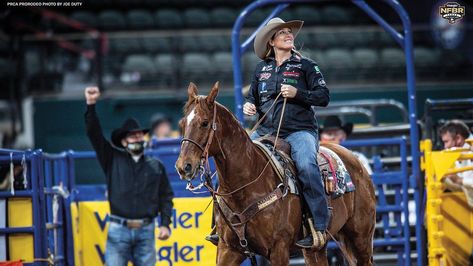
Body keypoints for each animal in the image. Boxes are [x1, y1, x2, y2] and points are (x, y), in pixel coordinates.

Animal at [174, 82, 376, 264]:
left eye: (205, 123)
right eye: (182, 123)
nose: (184, 166)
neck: (247, 184)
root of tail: (356, 162)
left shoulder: (279, 249)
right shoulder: (228, 249)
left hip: (361, 238)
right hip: (317, 248)